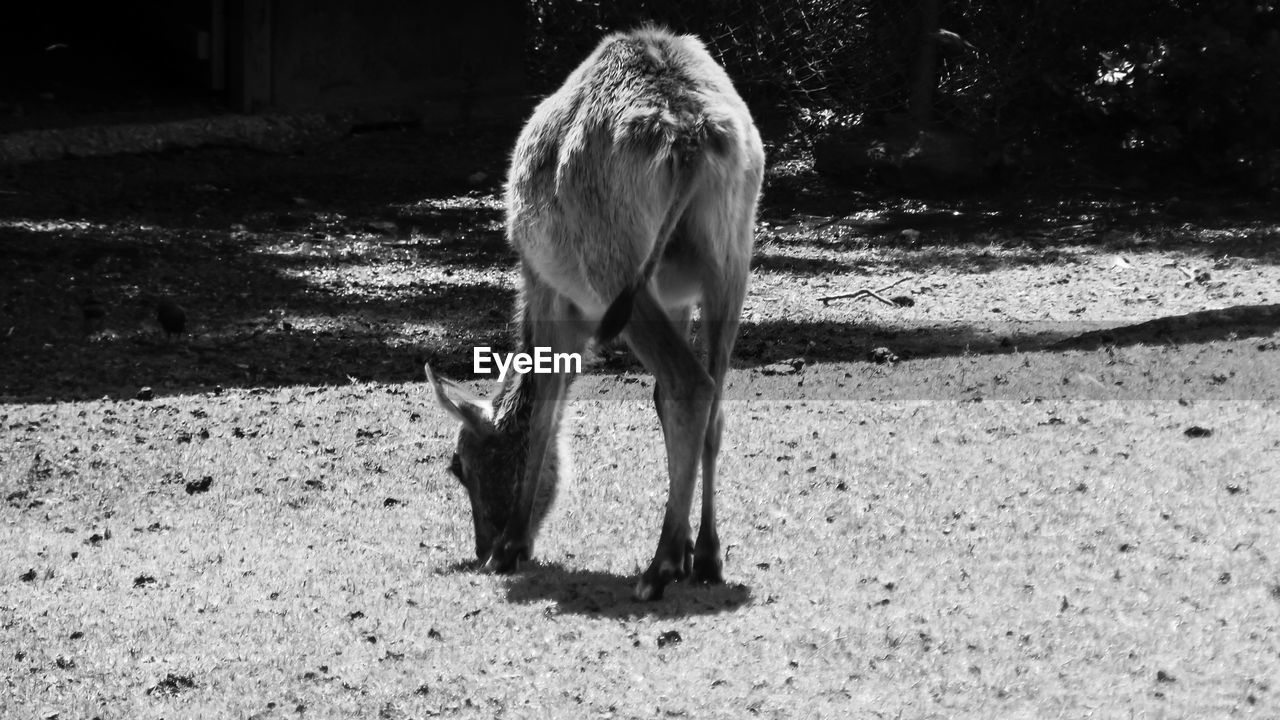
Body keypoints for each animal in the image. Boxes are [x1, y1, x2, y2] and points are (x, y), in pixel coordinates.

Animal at [424, 25, 762, 599]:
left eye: (459, 466)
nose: (480, 546)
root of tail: (689, 136)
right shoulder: (677, 298)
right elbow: (659, 405)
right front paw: (691, 550)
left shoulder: (548, 287)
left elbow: (544, 407)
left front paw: (512, 546)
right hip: (733, 257)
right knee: (712, 396)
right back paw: (706, 556)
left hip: (613, 262)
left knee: (690, 383)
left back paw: (659, 567)